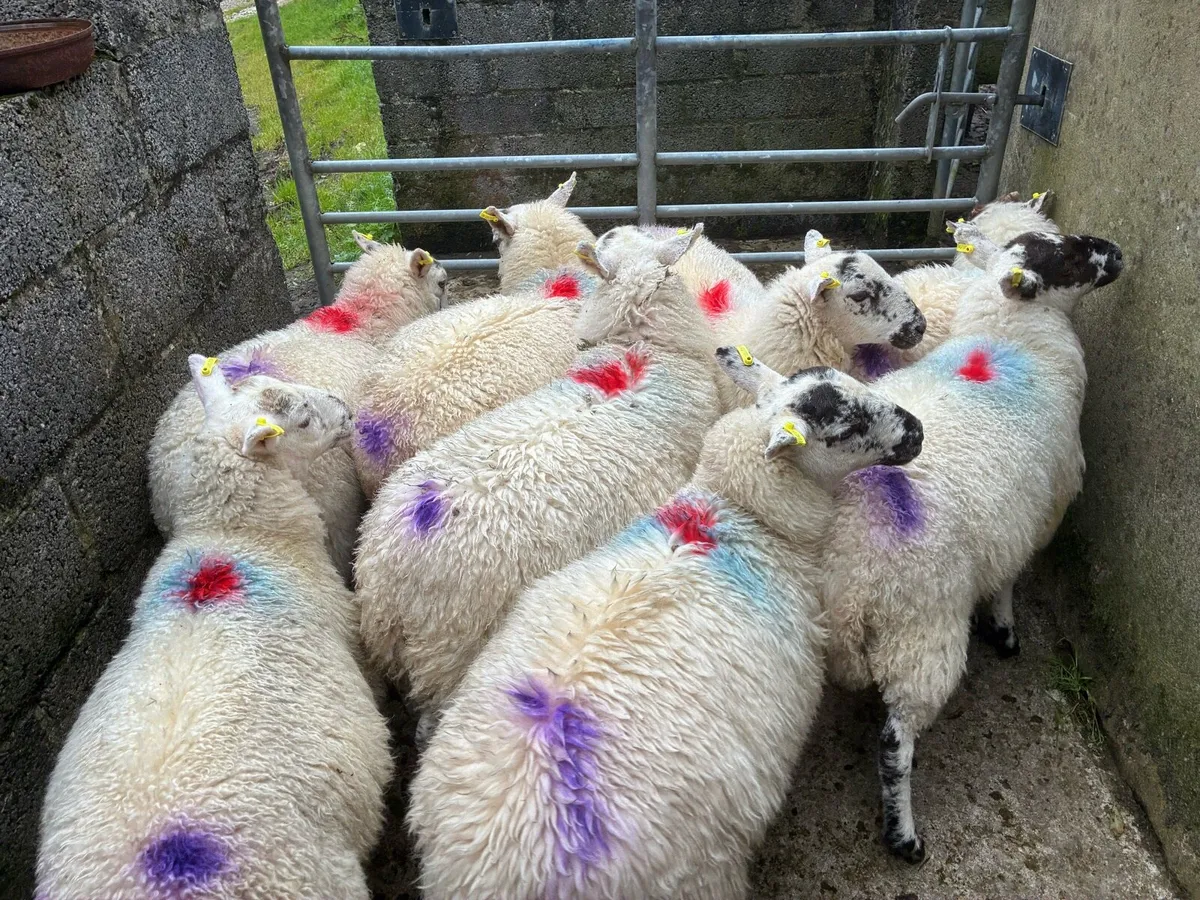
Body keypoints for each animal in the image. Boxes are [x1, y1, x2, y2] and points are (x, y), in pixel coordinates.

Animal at [820, 224, 1123, 863]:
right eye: (1069, 257)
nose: (1118, 251)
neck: (1013, 336)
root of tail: (847, 580)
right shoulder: (1038, 512)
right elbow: (1009, 577)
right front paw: (1005, 630)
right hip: (920, 629)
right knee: (896, 741)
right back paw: (904, 835)